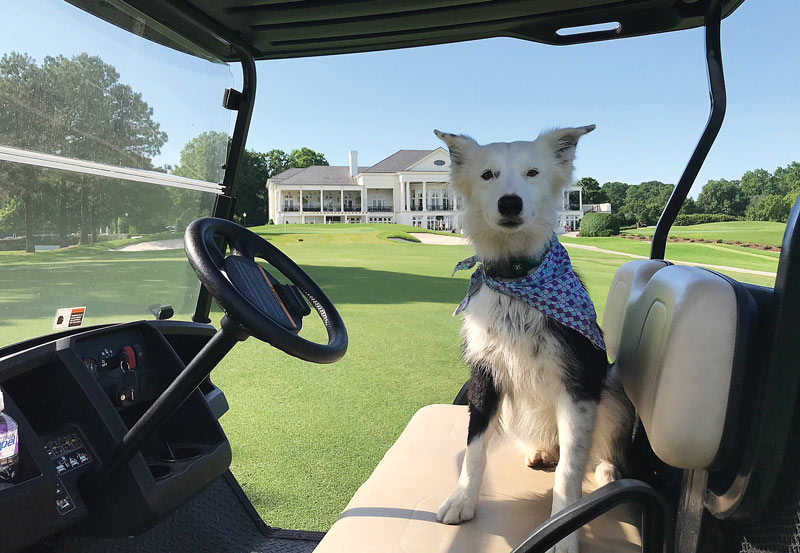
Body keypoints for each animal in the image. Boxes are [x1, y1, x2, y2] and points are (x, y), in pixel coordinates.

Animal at [434, 126, 636, 552]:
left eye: (533, 172)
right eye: (487, 175)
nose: (510, 203)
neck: (517, 280)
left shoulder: (578, 384)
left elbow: (570, 471)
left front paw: (566, 530)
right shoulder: (485, 375)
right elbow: (474, 448)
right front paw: (462, 500)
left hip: (612, 387)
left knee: (598, 449)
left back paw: (607, 470)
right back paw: (540, 451)